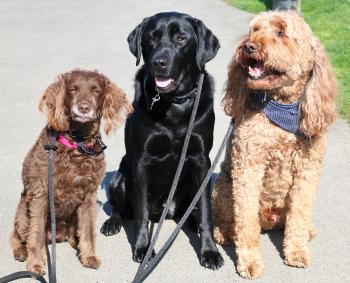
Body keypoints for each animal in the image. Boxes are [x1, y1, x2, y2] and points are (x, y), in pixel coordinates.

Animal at [10, 70, 133, 276]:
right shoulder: (41, 193)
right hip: (23, 210)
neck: (77, 145)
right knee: (18, 234)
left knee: (76, 233)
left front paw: (89, 256)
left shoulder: (89, 195)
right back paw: (21, 251)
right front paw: (36, 265)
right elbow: (36, 234)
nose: (83, 107)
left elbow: (88, 230)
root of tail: (58, 235)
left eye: (96, 90)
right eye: (72, 89)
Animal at [212, 11, 338, 280]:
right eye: (254, 30)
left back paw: (306, 230)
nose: (249, 46)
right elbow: (246, 222)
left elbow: (299, 215)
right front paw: (249, 262)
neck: (282, 106)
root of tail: (269, 221)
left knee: (289, 219)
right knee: (229, 219)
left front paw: (297, 250)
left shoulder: (308, 169)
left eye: (281, 32)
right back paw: (225, 233)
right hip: (222, 186)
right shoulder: (249, 166)